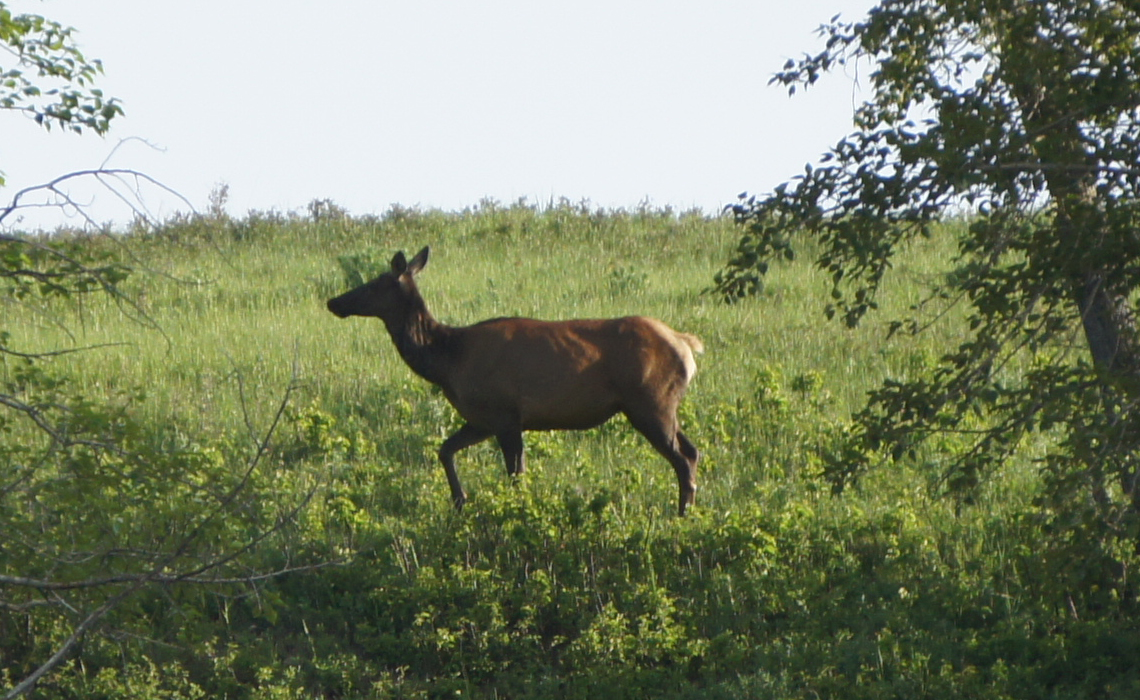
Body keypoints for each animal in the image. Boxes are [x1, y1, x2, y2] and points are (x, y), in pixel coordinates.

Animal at [325, 246, 703, 515]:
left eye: (375, 283)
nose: (334, 301)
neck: (448, 360)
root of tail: (686, 345)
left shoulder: (504, 412)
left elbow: (514, 474)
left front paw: (512, 511)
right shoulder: (483, 418)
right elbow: (446, 449)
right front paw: (460, 501)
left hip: (648, 402)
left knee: (682, 458)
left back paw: (681, 514)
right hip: (662, 405)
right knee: (693, 450)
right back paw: (688, 509)